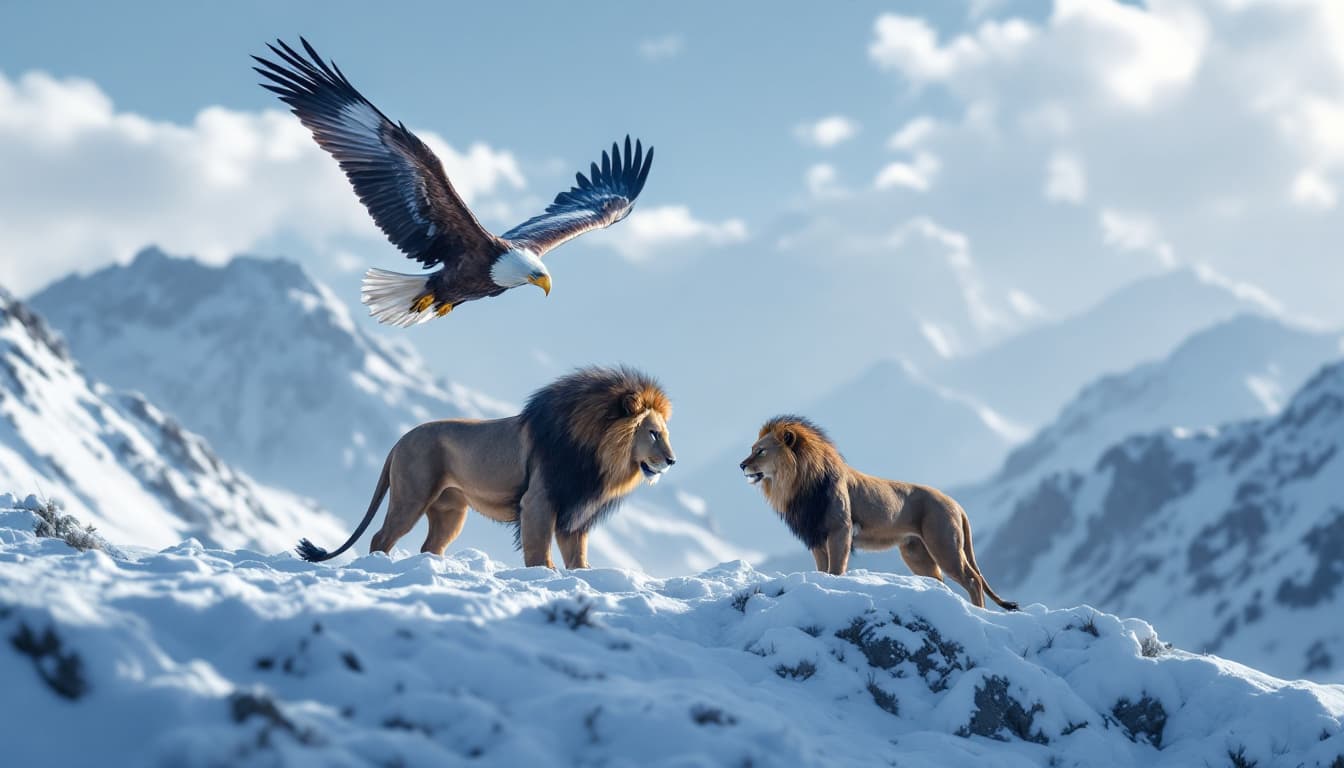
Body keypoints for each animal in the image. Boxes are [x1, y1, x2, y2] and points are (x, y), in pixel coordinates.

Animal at [296, 366, 676, 568]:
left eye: (665, 434)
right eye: (653, 433)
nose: (672, 460)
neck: (598, 453)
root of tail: (400, 440)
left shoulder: (575, 513)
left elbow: (578, 559)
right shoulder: (538, 502)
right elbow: (538, 551)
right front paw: (545, 575)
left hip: (450, 510)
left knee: (430, 545)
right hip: (411, 496)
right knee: (381, 536)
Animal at [739, 415, 1017, 610]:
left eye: (761, 451)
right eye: (752, 449)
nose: (741, 465)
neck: (795, 485)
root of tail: (955, 503)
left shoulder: (840, 530)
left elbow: (836, 568)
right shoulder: (816, 537)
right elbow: (822, 568)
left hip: (944, 545)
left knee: (973, 580)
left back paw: (980, 611)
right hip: (916, 552)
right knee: (941, 581)